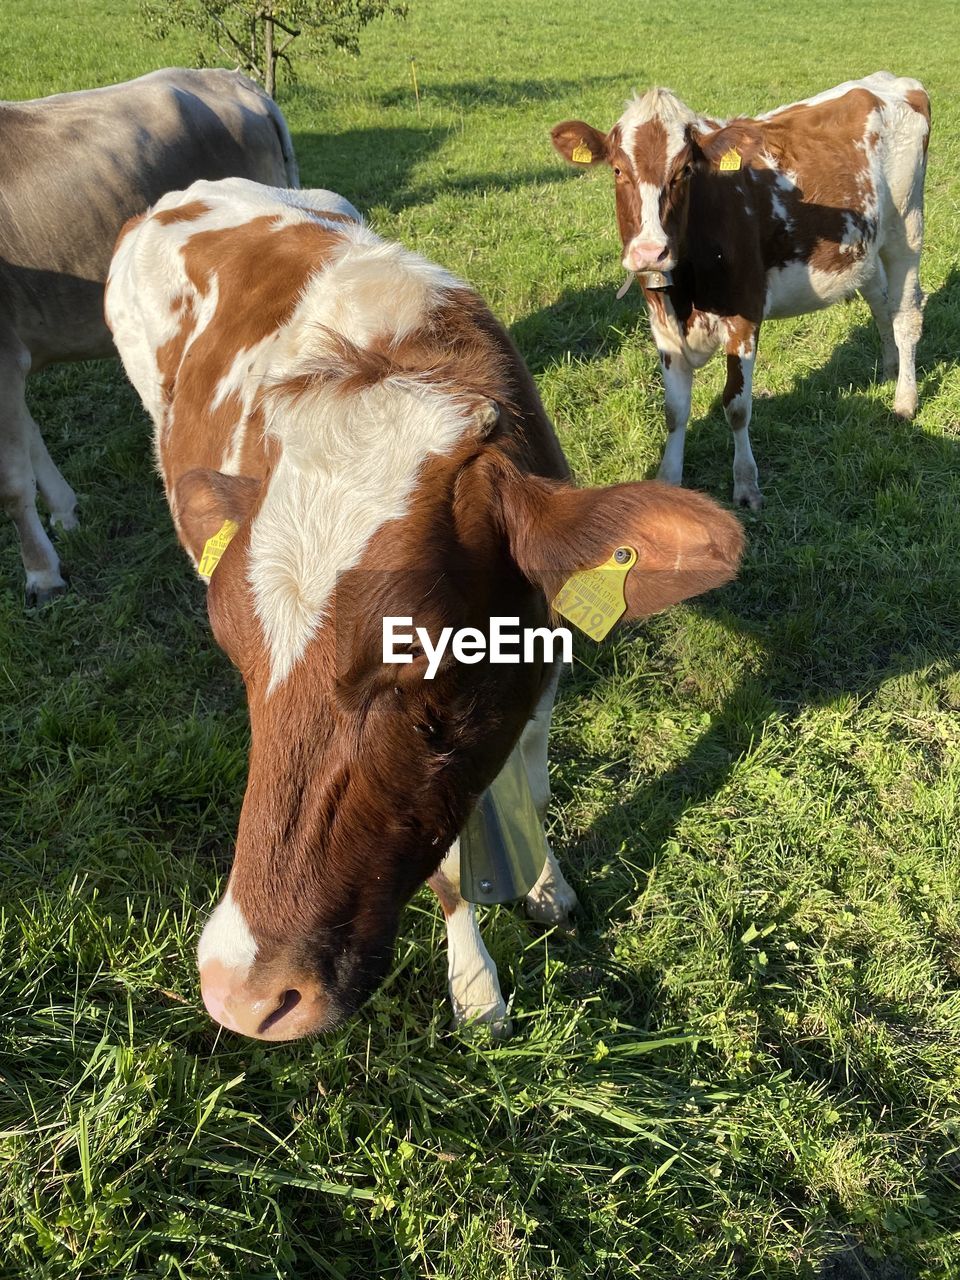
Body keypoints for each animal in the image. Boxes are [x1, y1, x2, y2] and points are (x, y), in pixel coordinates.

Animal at [0, 68, 300, 604]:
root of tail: (234, 79)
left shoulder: (3, 354)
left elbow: (12, 483)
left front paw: (41, 573)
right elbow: (33, 442)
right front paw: (65, 512)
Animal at [108, 180, 747, 1039]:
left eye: (425, 651)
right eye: (230, 644)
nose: (239, 992)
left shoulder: (541, 650)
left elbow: (533, 780)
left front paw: (544, 883)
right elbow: (447, 867)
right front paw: (477, 988)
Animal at [555, 72, 931, 506]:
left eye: (684, 171)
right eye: (617, 170)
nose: (650, 251)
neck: (686, 292)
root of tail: (891, 81)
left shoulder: (744, 316)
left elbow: (736, 406)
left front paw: (746, 483)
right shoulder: (661, 323)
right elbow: (675, 410)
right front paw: (668, 480)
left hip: (907, 227)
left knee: (906, 315)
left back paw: (904, 399)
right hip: (865, 245)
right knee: (881, 304)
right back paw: (889, 368)